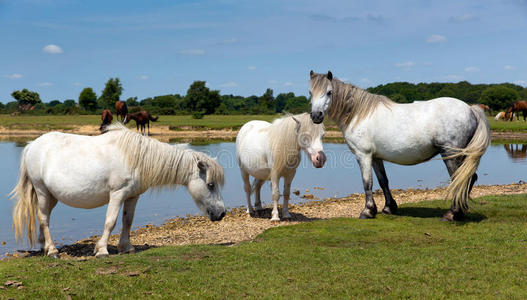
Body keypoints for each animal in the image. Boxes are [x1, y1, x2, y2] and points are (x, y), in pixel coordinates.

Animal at [10, 124, 225, 258]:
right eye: (210, 185)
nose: (221, 213)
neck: (137, 158)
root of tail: (32, 145)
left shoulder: (132, 196)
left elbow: (127, 221)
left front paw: (126, 247)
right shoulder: (117, 194)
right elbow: (111, 221)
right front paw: (102, 250)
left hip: (52, 195)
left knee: (43, 217)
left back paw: (45, 246)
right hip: (42, 191)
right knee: (44, 218)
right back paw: (53, 251)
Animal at [310, 70, 490, 220]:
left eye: (329, 92)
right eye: (310, 93)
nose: (316, 116)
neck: (358, 114)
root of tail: (470, 109)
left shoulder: (363, 155)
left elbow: (367, 182)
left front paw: (367, 211)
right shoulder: (376, 157)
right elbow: (383, 181)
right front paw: (389, 208)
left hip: (450, 154)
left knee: (459, 179)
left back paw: (452, 213)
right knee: (469, 178)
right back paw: (460, 210)